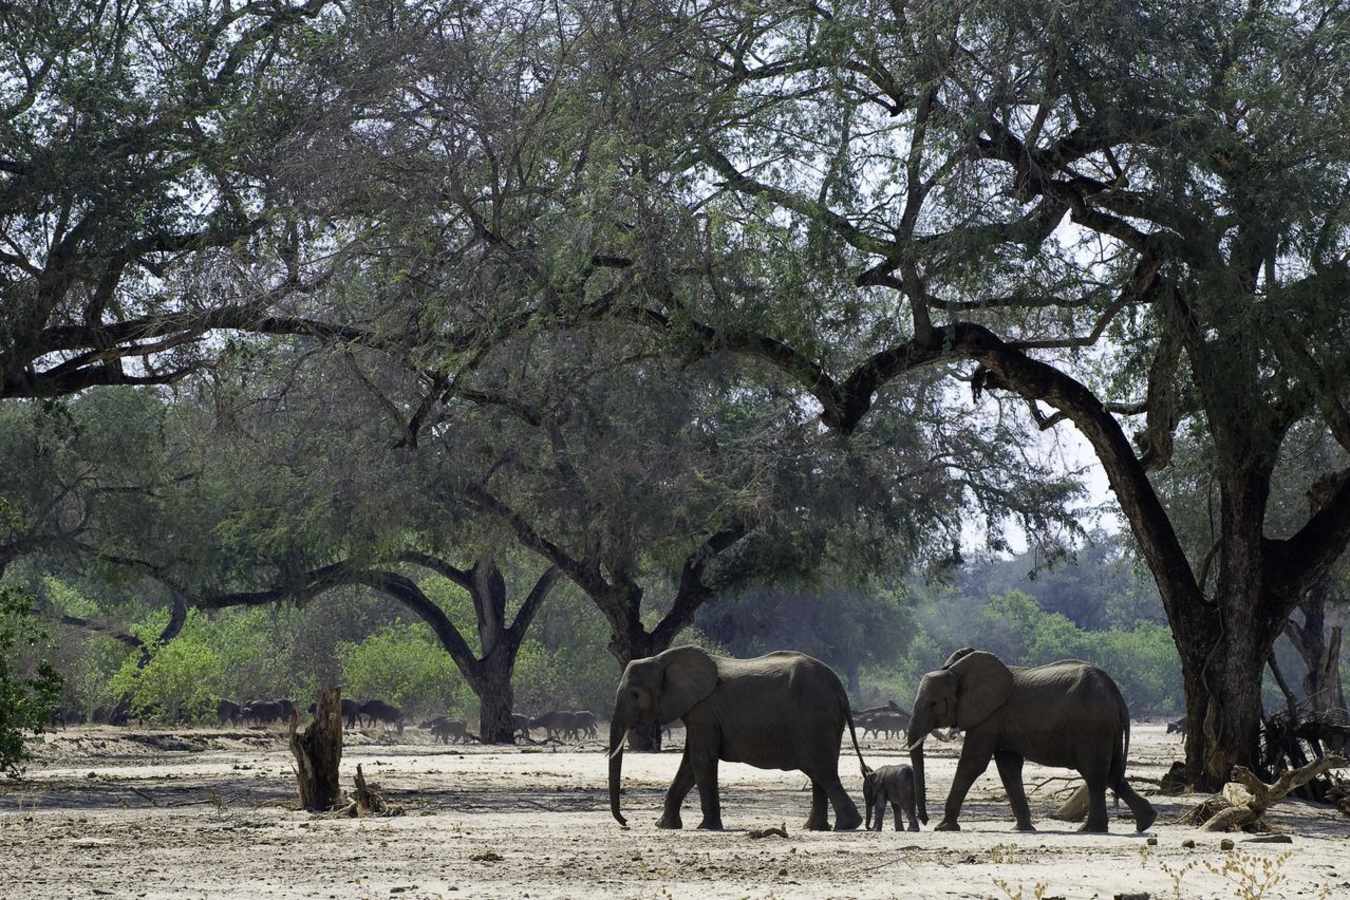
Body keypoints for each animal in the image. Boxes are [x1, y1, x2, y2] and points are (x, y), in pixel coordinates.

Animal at [607, 646, 866, 832]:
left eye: (635, 694)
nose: (626, 822)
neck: (661, 658)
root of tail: (840, 690)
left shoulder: (704, 710)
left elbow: (701, 760)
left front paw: (706, 828)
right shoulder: (698, 712)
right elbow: (689, 764)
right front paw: (664, 826)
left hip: (814, 718)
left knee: (820, 769)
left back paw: (847, 825)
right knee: (820, 771)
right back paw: (816, 828)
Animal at [907, 648, 1156, 834]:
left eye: (933, 704)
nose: (924, 820)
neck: (958, 671)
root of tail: (1116, 694)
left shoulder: (989, 716)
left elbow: (973, 764)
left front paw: (944, 827)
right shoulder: (999, 721)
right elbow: (1008, 767)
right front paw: (1023, 829)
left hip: (1094, 726)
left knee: (1094, 773)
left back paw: (1090, 830)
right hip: (1107, 727)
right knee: (1112, 772)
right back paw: (1145, 822)